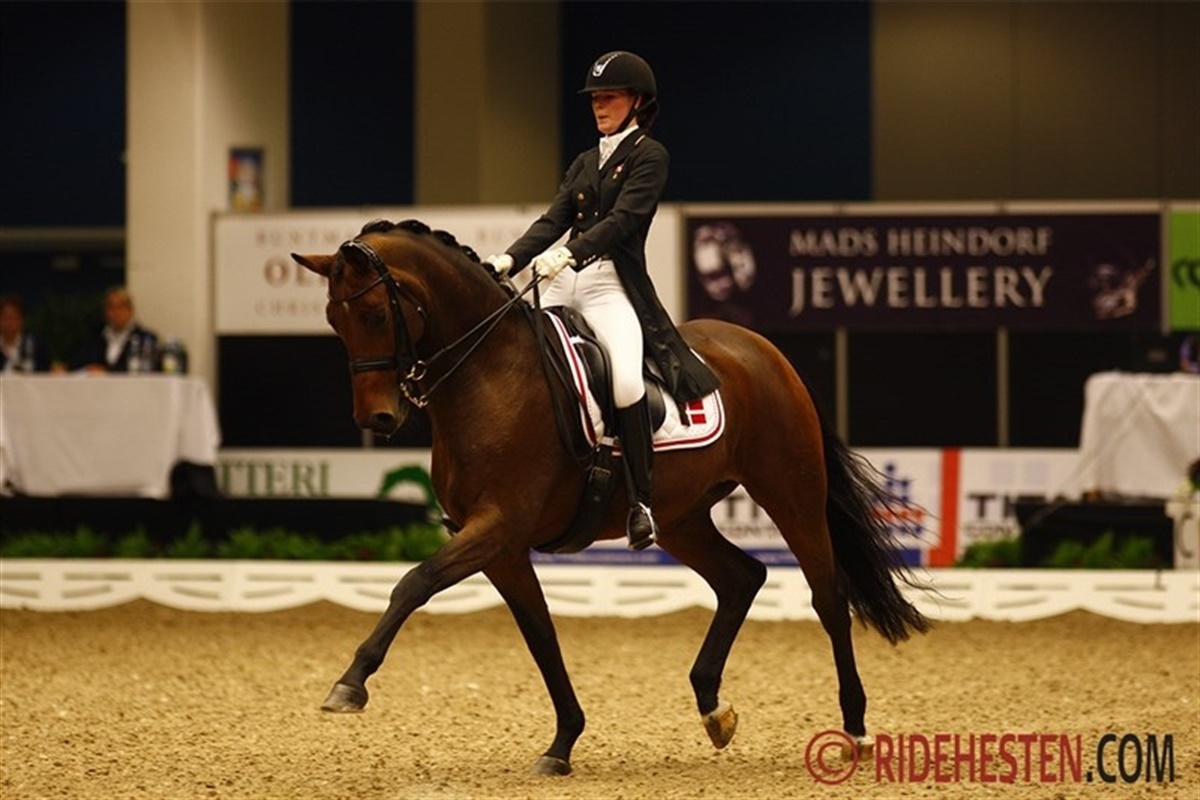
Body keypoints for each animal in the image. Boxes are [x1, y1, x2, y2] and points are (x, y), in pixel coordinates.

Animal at [293, 218, 930, 776]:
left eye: (376, 314)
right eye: (332, 320)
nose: (377, 418)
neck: (490, 374)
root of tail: (764, 351)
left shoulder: (497, 526)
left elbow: (413, 583)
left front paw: (349, 684)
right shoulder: (500, 547)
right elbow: (540, 635)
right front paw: (562, 745)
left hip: (790, 491)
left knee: (828, 596)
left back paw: (855, 730)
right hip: (681, 518)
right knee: (741, 578)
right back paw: (713, 708)